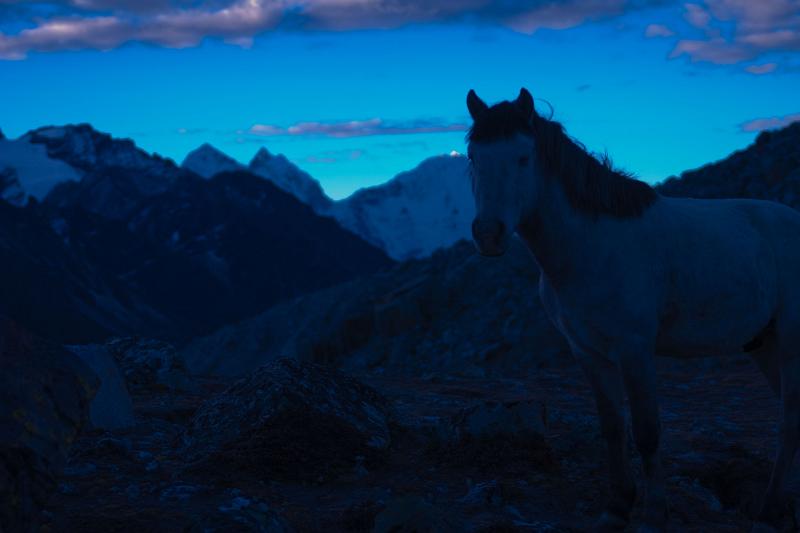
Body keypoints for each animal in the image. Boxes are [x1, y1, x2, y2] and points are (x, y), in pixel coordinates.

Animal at [466, 88, 800, 532]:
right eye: (473, 157)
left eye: (523, 157)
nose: (488, 235)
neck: (592, 244)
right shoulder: (588, 353)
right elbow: (612, 428)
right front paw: (618, 505)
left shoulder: (634, 350)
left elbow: (646, 430)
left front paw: (654, 512)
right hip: (764, 345)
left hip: (790, 344)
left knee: (789, 421)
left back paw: (769, 508)